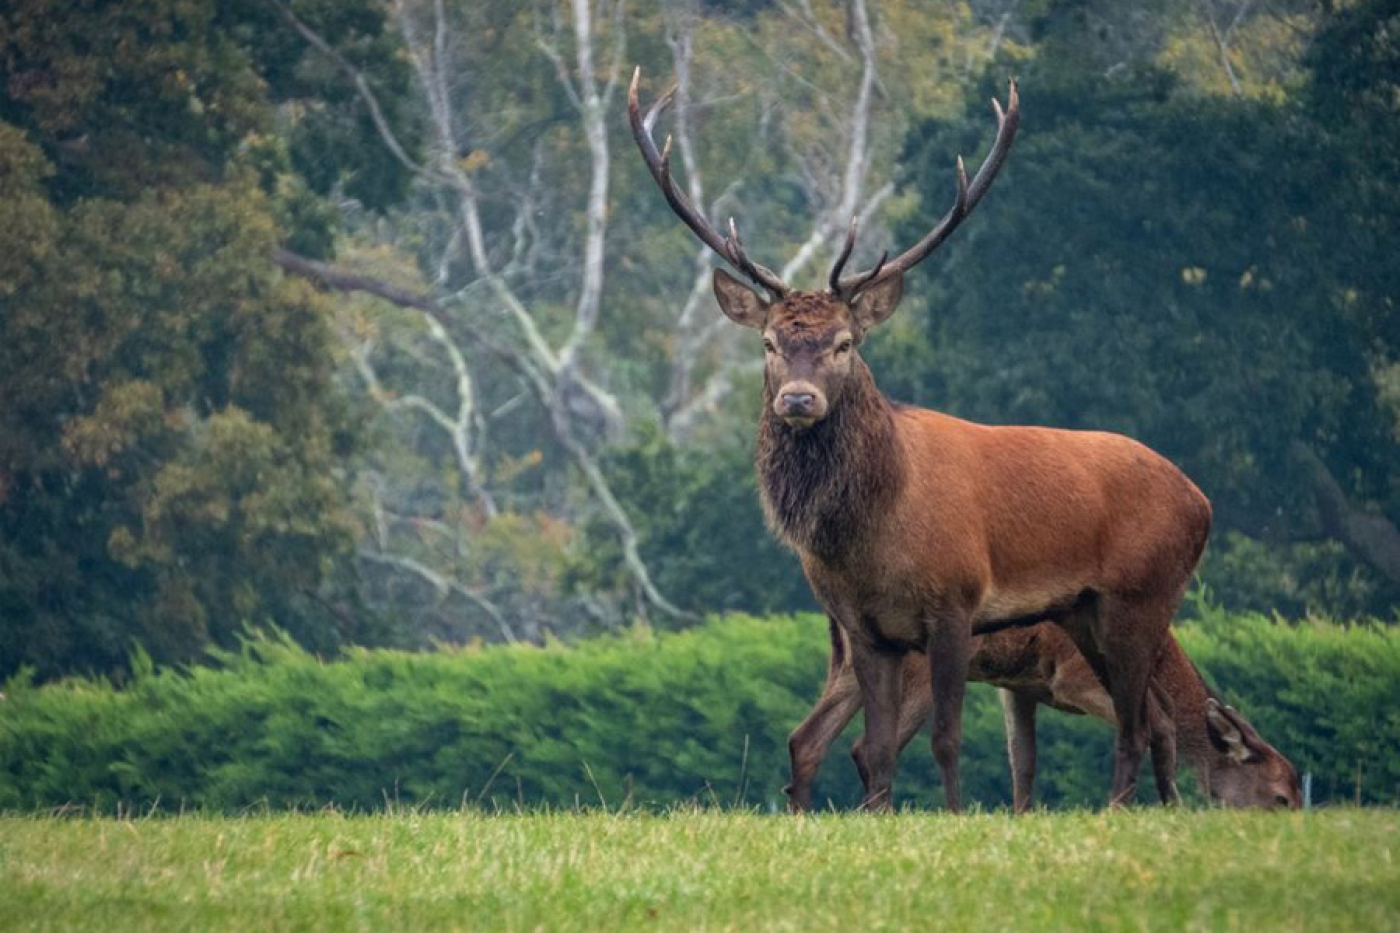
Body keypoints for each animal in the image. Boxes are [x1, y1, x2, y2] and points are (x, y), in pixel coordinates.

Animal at [630, 68, 1209, 806]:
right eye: (768, 342)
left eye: (844, 342)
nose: (798, 399)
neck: (872, 534)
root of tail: (1201, 501)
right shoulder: (865, 626)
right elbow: (876, 749)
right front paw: (878, 814)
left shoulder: (956, 603)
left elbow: (946, 739)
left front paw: (957, 815)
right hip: (1087, 613)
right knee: (1153, 717)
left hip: (1143, 596)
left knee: (1138, 722)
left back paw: (1120, 811)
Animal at [789, 616, 1299, 806]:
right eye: (1280, 797)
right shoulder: (1073, 677)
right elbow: (1162, 720)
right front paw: (1164, 807)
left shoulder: (1018, 686)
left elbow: (1023, 761)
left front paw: (1022, 818)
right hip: (916, 668)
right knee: (867, 746)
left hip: (846, 665)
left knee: (806, 737)